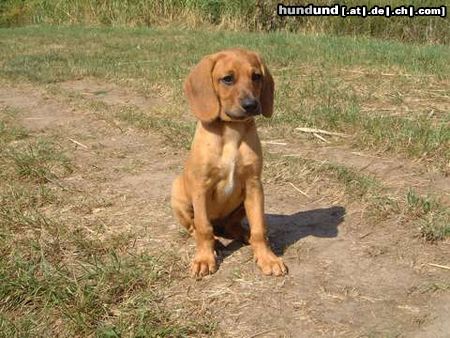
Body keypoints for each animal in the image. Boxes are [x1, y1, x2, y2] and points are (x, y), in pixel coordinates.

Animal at [171, 48, 286, 278]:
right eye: (227, 79)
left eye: (256, 76)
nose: (251, 105)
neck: (232, 130)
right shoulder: (201, 188)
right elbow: (203, 228)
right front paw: (204, 259)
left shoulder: (253, 185)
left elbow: (259, 228)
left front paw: (267, 257)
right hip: (178, 196)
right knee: (195, 227)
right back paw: (214, 242)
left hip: (243, 203)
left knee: (233, 226)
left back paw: (244, 234)